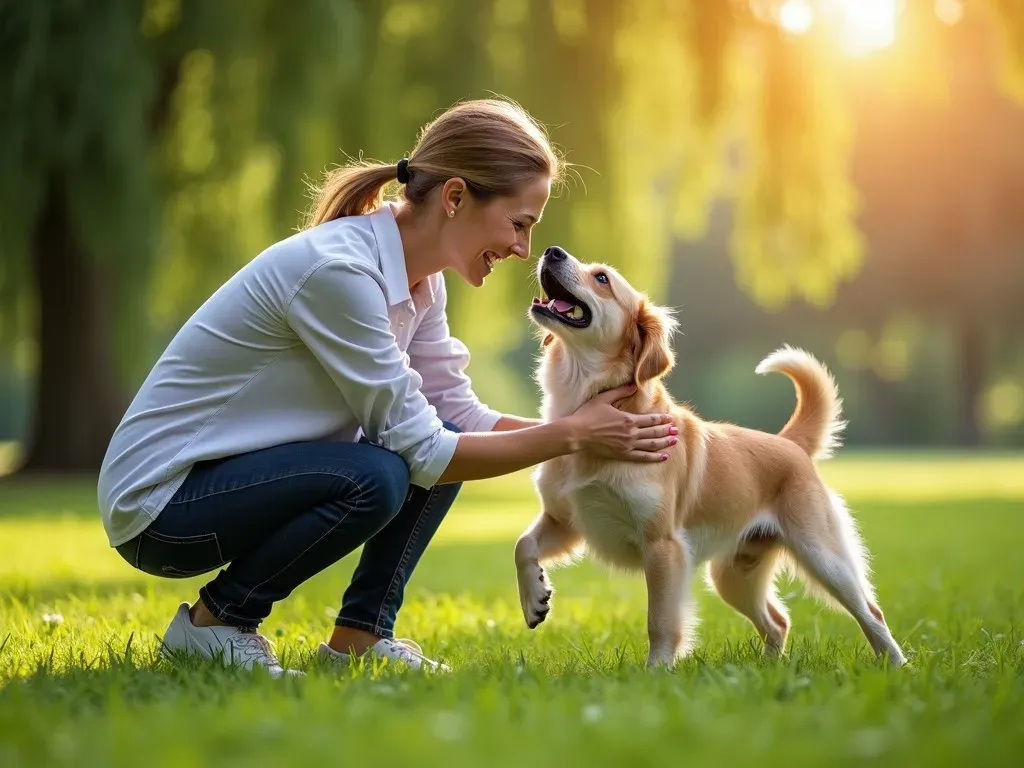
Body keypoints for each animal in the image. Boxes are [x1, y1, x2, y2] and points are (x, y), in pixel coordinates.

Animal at [516, 244, 909, 667]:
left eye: (602, 278)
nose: (552, 250)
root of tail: (789, 443)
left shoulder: (664, 546)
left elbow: (660, 621)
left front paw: (656, 672)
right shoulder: (566, 520)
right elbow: (523, 545)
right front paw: (535, 598)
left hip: (823, 557)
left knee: (871, 612)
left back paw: (897, 666)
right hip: (733, 575)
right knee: (778, 621)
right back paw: (768, 669)